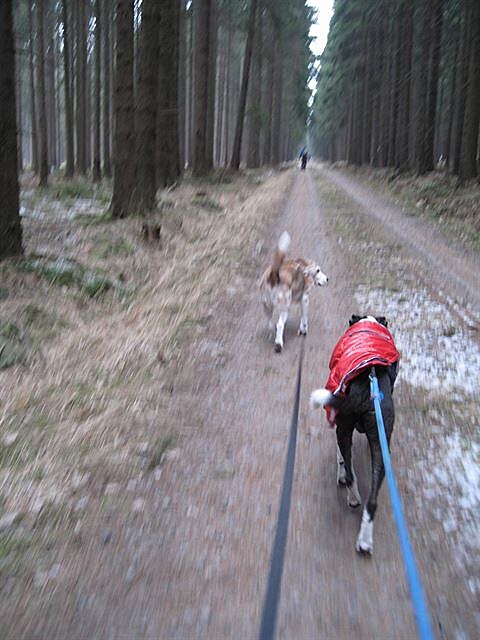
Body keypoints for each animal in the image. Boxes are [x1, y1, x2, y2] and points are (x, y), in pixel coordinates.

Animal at [310, 316, 400, 556]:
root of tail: (366, 393)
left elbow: (342, 457)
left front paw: (340, 468)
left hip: (344, 428)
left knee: (351, 476)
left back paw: (352, 497)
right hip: (380, 446)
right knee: (372, 501)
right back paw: (365, 541)